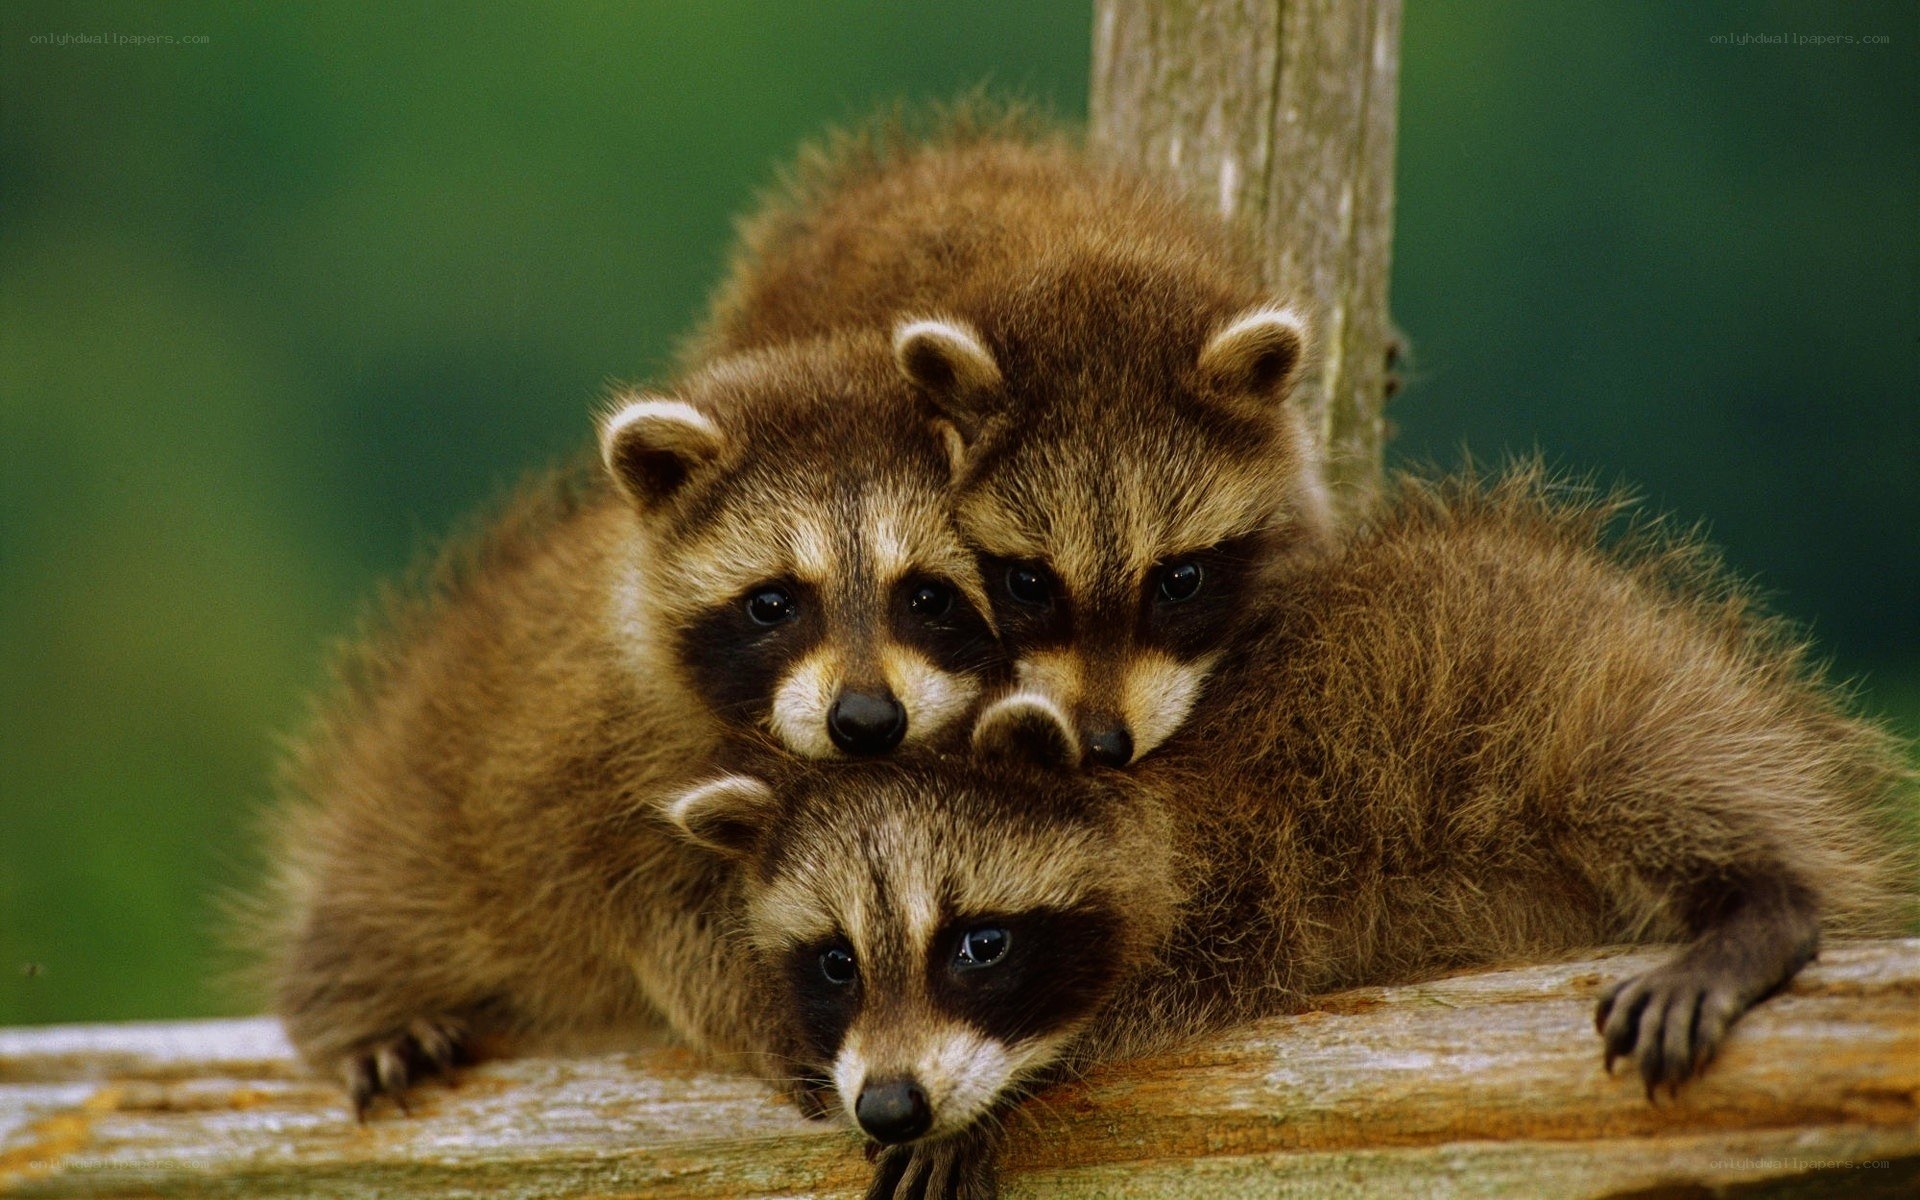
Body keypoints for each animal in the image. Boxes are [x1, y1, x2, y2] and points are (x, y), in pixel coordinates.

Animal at [264, 331, 998, 1112]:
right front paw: (789, 1011)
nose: (865, 719)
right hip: (414, 835)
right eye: (773, 602)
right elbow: (678, 931)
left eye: (929, 596)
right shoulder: (598, 784)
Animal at [666, 469, 1910, 1200]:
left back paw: (1765, 901)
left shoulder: (1252, 863)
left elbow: (1170, 986)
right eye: (835, 963)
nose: (891, 1103)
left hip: (1601, 691)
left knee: (1655, 780)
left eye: (978, 945)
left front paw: (1003, 1092)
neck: (1135, 790)